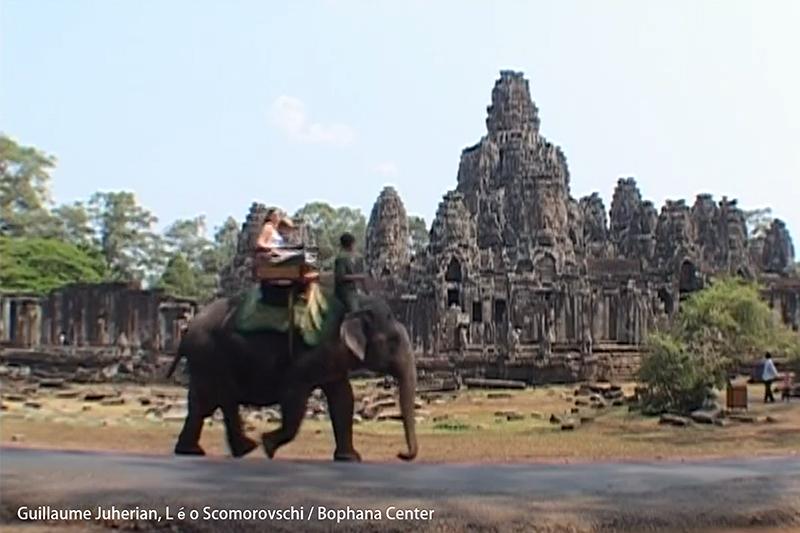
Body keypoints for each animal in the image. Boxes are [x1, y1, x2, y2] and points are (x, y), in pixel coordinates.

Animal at [166, 290, 422, 462]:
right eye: (393, 342)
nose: (401, 454)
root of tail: (187, 330)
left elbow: (343, 399)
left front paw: (350, 458)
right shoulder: (314, 351)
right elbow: (294, 391)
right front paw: (268, 446)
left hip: (205, 360)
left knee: (203, 403)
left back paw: (195, 451)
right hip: (211, 355)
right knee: (220, 399)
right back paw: (244, 448)